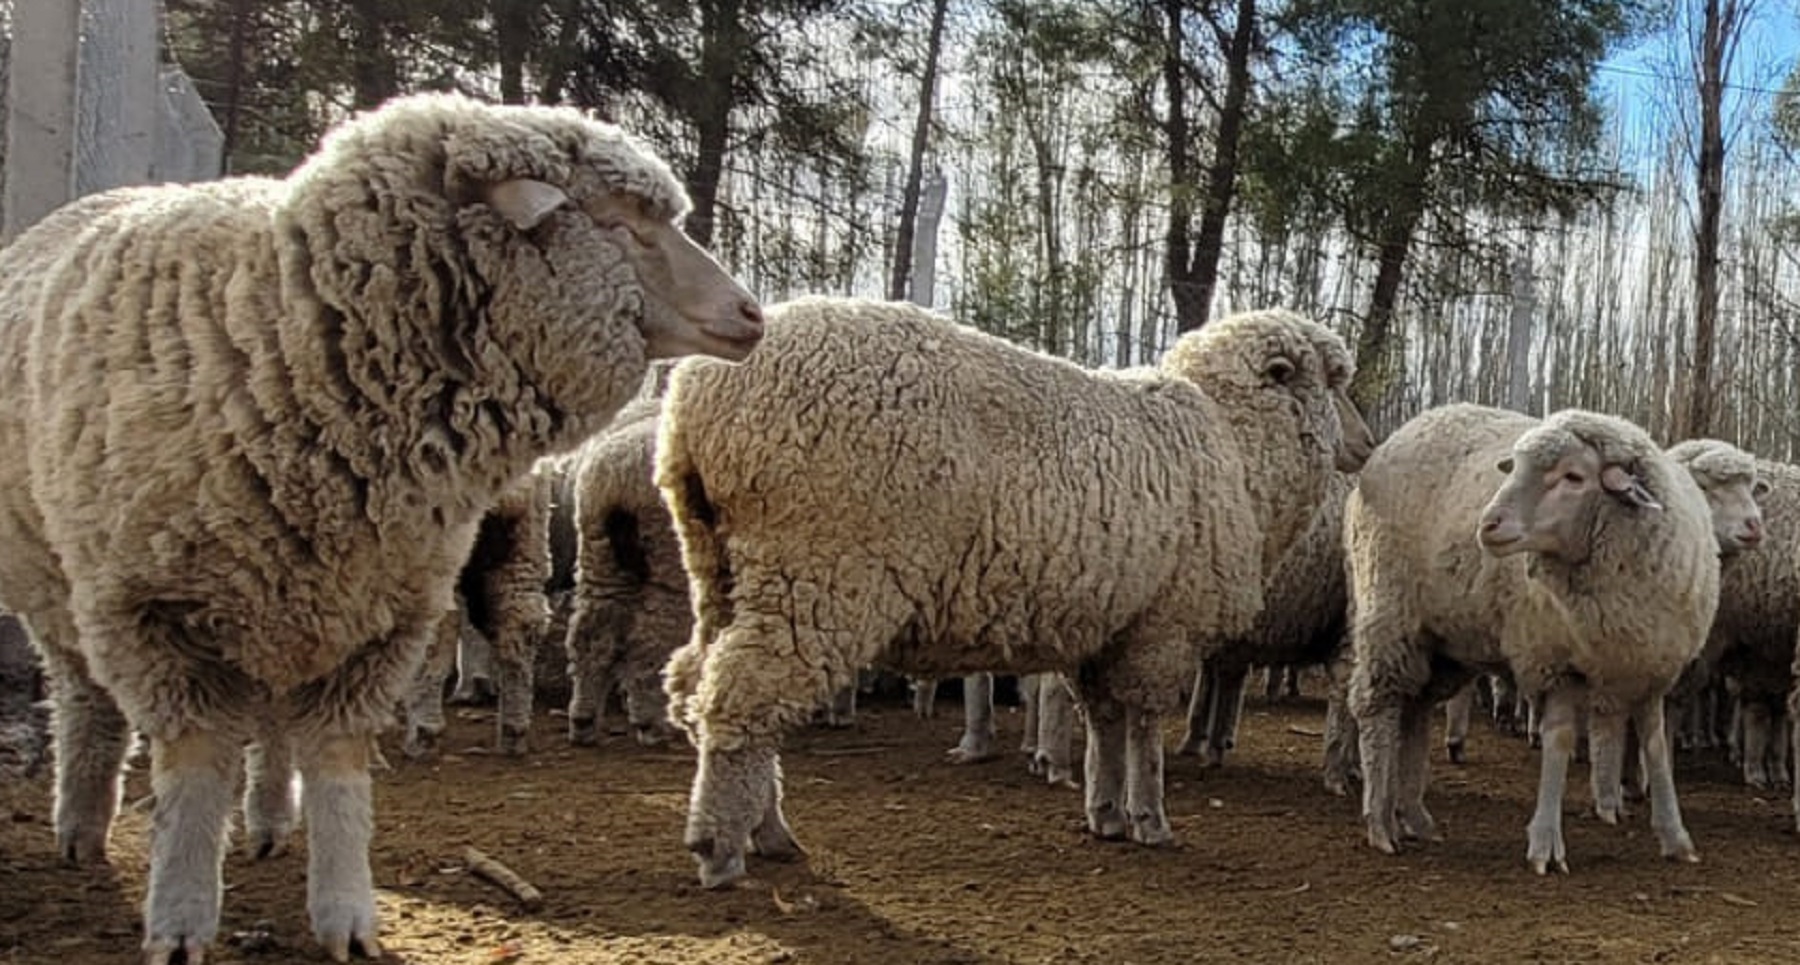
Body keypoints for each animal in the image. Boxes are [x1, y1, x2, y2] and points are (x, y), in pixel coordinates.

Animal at [0, 92, 763, 965]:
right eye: (623, 219)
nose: (751, 313)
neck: (290, 338)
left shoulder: (380, 608)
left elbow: (336, 759)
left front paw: (346, 910)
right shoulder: (150, 610)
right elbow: (192, 764)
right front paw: (183, 912)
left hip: (295, 600)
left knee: (275, 717)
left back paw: (270, 818)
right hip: (69, 590)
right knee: (86, 700)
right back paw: (81, 821)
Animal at [655, 295, 1368, 889]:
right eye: (1334, 379)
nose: (1364, 445)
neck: (1234, 444)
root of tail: (696, 393)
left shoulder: (1107, 624)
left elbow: (1105, 721)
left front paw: (1106, 812)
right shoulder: (1164, 625)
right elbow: (1142, 725)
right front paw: (1151, 817)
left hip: (720, 568)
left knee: (697, 685)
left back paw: (763, 829)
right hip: (822, 568)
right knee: (743, 698)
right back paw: (725, 847)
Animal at [1353, 405, 1713, 874]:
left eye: (1574, 477)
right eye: (1516, 469)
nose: (1487, 524)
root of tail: (1407, 429)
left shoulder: (1651, 668)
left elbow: (1656, 748)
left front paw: (1676, 837)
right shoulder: (1553, 660)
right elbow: (1558, 741)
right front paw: (1545, 844)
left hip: (1440, 642)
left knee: (1414, 709)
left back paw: (1414, 817)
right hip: (1388, 614)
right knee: (1378, 708)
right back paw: (1380, 821)